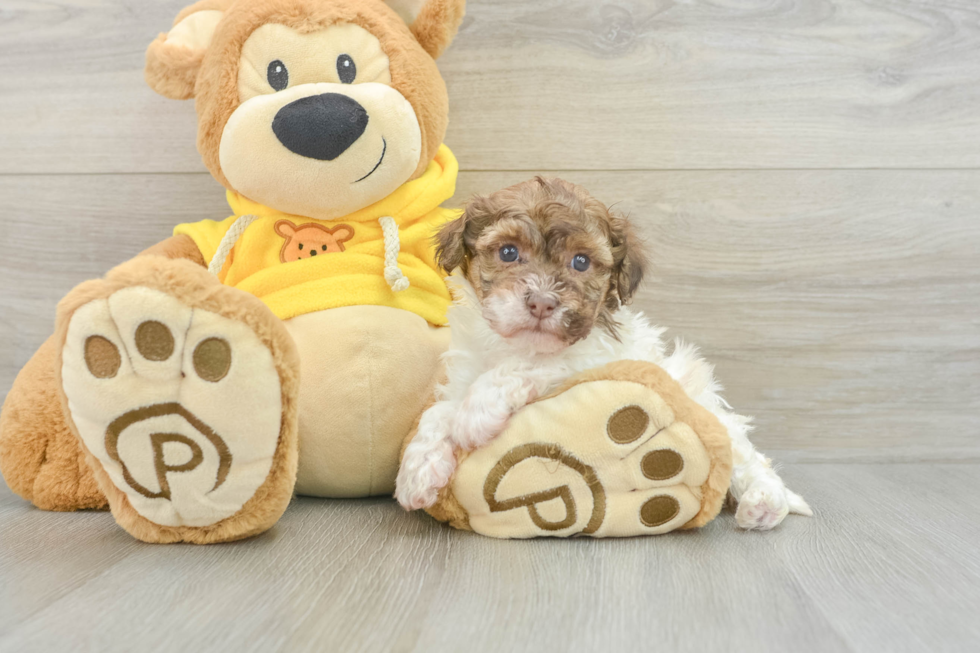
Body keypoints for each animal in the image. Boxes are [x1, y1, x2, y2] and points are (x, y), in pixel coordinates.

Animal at [394, 178, 816, 528]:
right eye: (509, 252)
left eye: (581, 261)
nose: (542, 303)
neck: (516, 343)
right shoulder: (463, 373)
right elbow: (439, 412)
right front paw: (419, 468)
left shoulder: (594, 356)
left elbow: (530, 365)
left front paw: (476, 415)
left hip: (704, 402)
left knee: (746, 457)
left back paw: (764, 502)